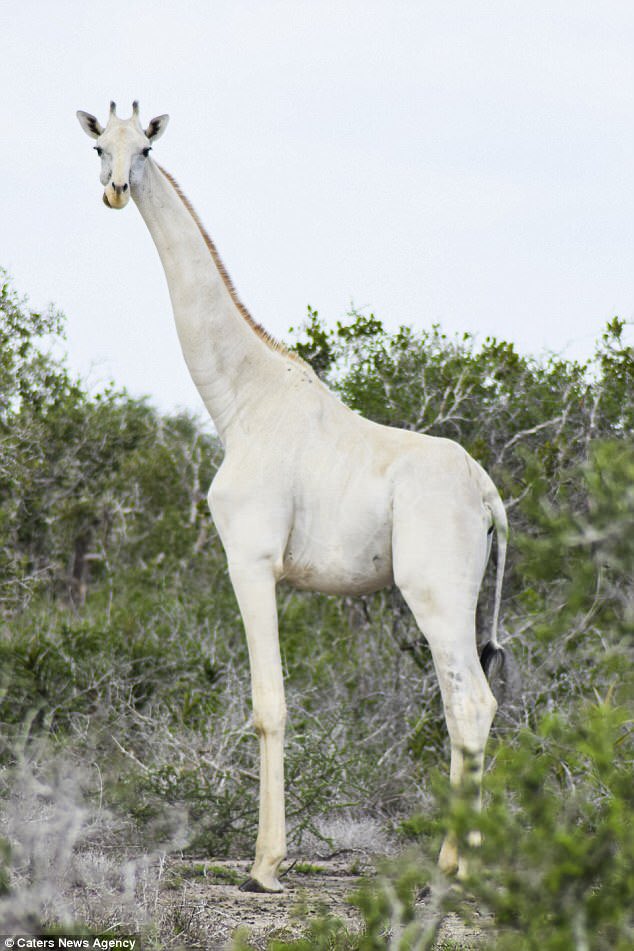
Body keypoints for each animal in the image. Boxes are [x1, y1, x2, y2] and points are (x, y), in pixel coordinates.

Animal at [77, 102, 508, 893]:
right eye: (99, 147)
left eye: (146, 147)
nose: (117, 190)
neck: (239, 400)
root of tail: (491, 497)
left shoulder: (250, 559)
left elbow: (268, 706)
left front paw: (266, 865)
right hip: (455, 597)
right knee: (469, 703)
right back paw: (464, 862)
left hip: (435, 591)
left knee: (470, 700)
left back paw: (453, 868)